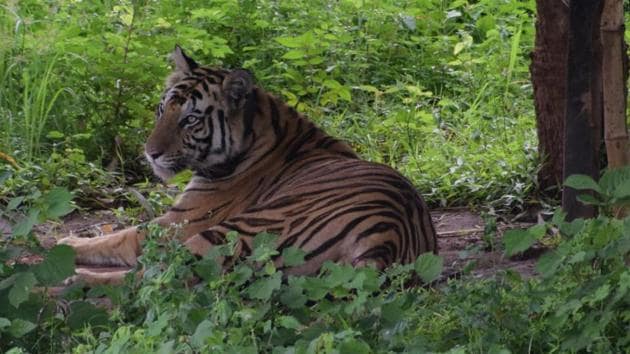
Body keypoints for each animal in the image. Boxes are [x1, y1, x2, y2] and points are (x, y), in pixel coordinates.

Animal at [59, 46, 436, 284]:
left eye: (190, 120)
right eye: (161, 110)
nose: (149, 153)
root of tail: (386, 235)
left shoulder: (176, 225)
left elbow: (117, 238)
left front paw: (64, 244)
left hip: (233, 232)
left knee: (151, 282)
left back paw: (77, 280)